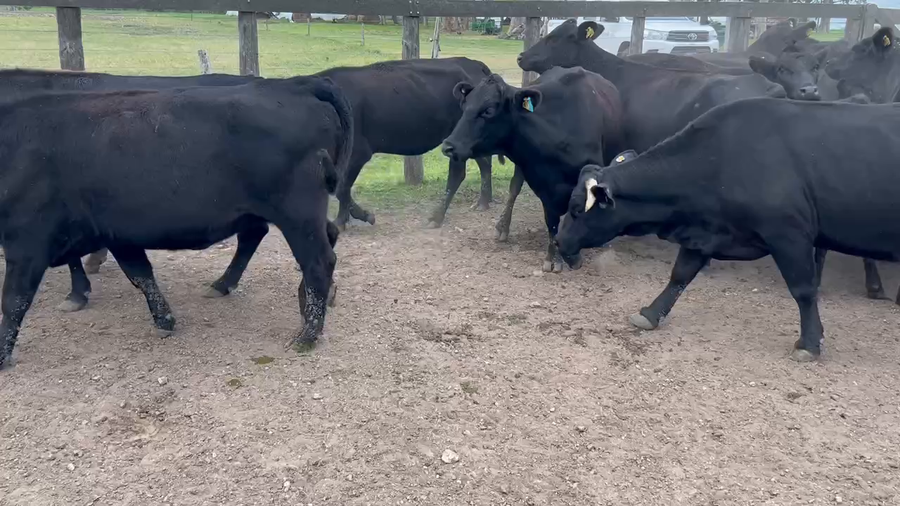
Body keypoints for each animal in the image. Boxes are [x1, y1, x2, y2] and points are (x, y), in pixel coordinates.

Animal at [0, 75, 353, 369]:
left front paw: (3, 356)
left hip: (297, 213)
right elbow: (140, 274)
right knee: (315, 237)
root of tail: (294, 85)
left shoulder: (27, 242)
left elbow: (14, 300)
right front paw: (164, 320)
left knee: (318, 260)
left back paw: (307, 334)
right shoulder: (117, 233)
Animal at [441, 67, 623, 272]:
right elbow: (552, 223)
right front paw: (554, 258)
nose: (448, 146)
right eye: (465, 107)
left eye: (488, 110)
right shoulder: (542, 184)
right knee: (514, 189)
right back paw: (503, 226)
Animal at [553, 97, 900, 362]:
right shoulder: (703, 234)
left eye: (576, 209)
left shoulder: (789, 235)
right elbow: (680, 275)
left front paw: (810, 343)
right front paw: (651, 314)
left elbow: (803, 290)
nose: (559, 239)